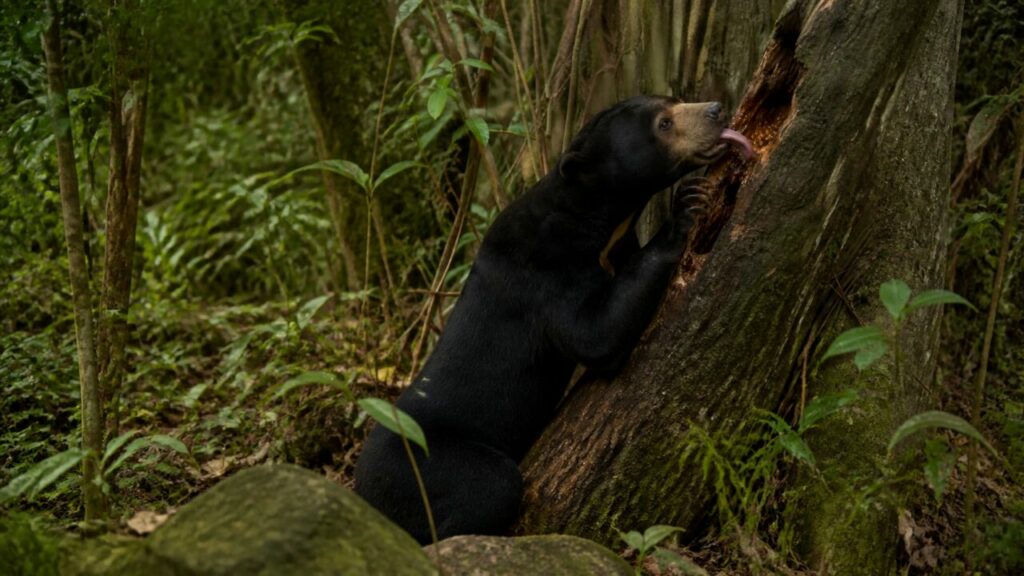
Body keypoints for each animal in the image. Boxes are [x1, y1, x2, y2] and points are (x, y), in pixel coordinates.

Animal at [354, 95, 751, 544]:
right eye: (663, 124)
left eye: (673, 102)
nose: (717, 110)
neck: (599, 220)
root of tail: (361, 486)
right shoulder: (544, 272)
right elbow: (594, 335)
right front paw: (687, 207)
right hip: (421, 464)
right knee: (490, 487)